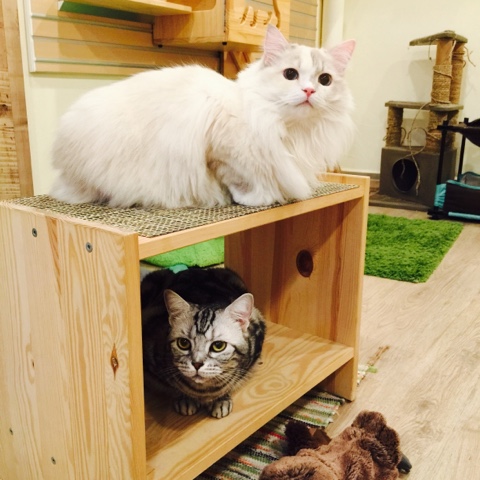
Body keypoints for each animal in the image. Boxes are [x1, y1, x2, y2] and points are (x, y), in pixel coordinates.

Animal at [50, 26, 355, 208]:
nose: (309, 90)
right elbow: (240, 181)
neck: (286, 128)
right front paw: (253, 199)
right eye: (290, 74)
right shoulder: (222, 151)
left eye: (325, 80)